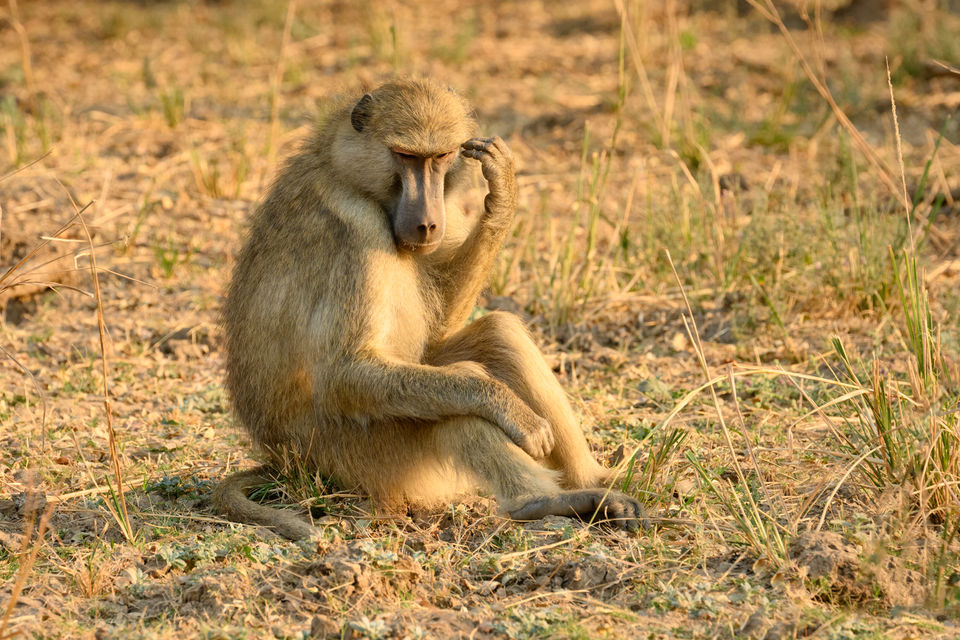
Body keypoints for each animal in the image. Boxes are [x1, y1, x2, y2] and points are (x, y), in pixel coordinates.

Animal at [213, 79, 642, 540]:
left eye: (440, 158)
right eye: (406, 157)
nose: (427, 224)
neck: (346, 172)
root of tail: (283, 460)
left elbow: (441, 328)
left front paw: (501, 195)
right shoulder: (355, 228)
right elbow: (346, 372)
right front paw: (507, 409)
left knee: (498, 334)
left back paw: (594, 481)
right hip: (356, 457)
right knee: (453, 400)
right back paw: (541, 502)